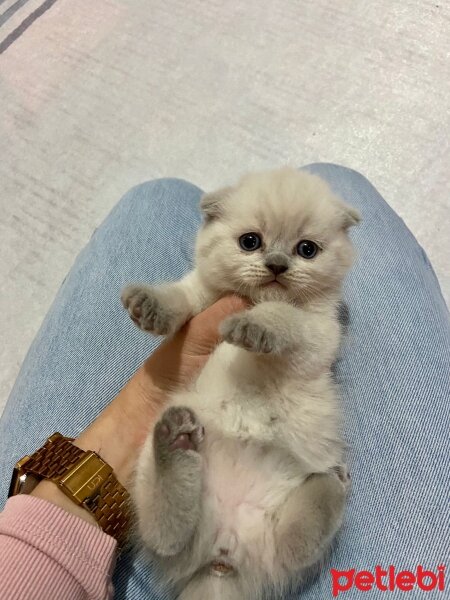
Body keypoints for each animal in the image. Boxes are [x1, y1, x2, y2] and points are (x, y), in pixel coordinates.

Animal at [122, 168, 358, 600]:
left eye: (307, 249)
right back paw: (176, 442)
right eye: (250, 242)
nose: (277, 264)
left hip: (276, 507)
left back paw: (331, 482)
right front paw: (151, 305)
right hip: (154, 467)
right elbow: (181, 297)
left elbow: (282, 316)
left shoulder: (317, 333)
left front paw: (253, 327)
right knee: (166, 533)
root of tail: (222, 553)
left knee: (291, 544)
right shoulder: (202, 296)